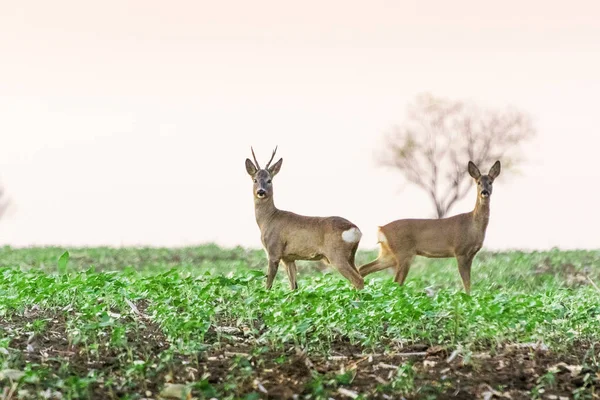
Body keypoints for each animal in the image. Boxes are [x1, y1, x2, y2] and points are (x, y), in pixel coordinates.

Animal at [245, 147, 366, 290]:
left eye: (269, 180)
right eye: (255, 180)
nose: (261, 191)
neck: (268, 219)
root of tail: (355, 229)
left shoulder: (274, 251)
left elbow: (268, 284)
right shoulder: (288, 258)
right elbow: (294, 286)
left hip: (337, 255)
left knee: (358, 279)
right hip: (351, 255)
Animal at [360, 161, 502, 296]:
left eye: (490, 182)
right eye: (478, 182)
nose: (484, 192)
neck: (473, 225)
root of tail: (381, 229)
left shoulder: (471, 254)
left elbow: (468, 282)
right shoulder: (460, 251)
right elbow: (466, 282)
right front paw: (468, 299)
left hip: (388, 254)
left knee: (363, 268)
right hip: (403, 253)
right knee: (396, 282)